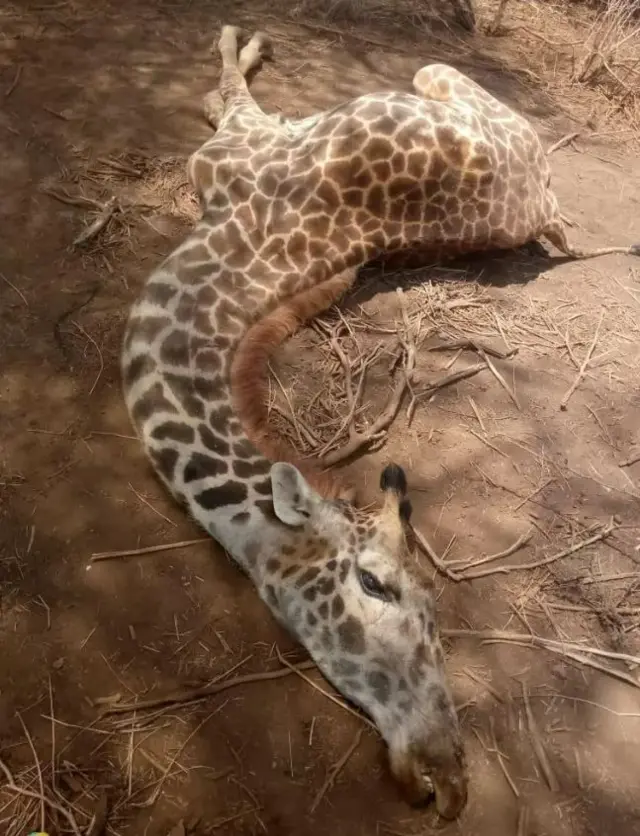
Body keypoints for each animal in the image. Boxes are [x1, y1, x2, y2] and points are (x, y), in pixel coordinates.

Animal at [121, 24, 637, 819]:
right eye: (375, 584)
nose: (445, 781)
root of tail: (541, 202)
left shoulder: (236, 144)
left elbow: (226, 90)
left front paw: (241, 41)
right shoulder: (230, 152)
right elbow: (226, 92)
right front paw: (243, 45)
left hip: (436, 74)